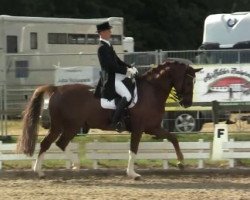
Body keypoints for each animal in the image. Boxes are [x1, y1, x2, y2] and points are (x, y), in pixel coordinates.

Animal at [17, 59, 201, 178]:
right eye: (189, 82)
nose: (187, 104)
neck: (152, 91)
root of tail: (56, 89)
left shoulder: (153, 127)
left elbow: (173, 138)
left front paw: (181, 163)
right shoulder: (139, 128)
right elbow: (133, 149)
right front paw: (132, 173)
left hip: (59, 126)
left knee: (47, 143)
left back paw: (39, 171)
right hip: (70, 126)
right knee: (59, 143)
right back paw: (75, 165)